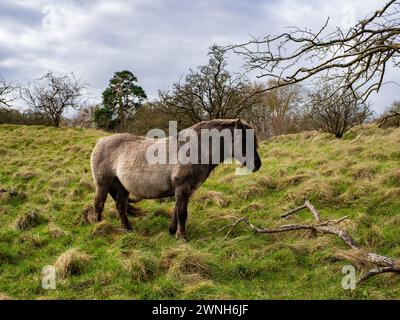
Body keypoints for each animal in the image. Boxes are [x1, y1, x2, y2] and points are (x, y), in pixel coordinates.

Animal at [89, 119, 260, 239]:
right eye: (244, 141)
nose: (257, 164)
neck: (194, 149)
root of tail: (100, 141)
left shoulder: (185, 190)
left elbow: (177, 210)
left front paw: (172, 230)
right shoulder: (182, 188)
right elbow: (182, 212)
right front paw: (181, 236)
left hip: (121, 186)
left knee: (120, 206)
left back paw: (127, 229)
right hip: (103, 183)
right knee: (99, 203)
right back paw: (99, 227)